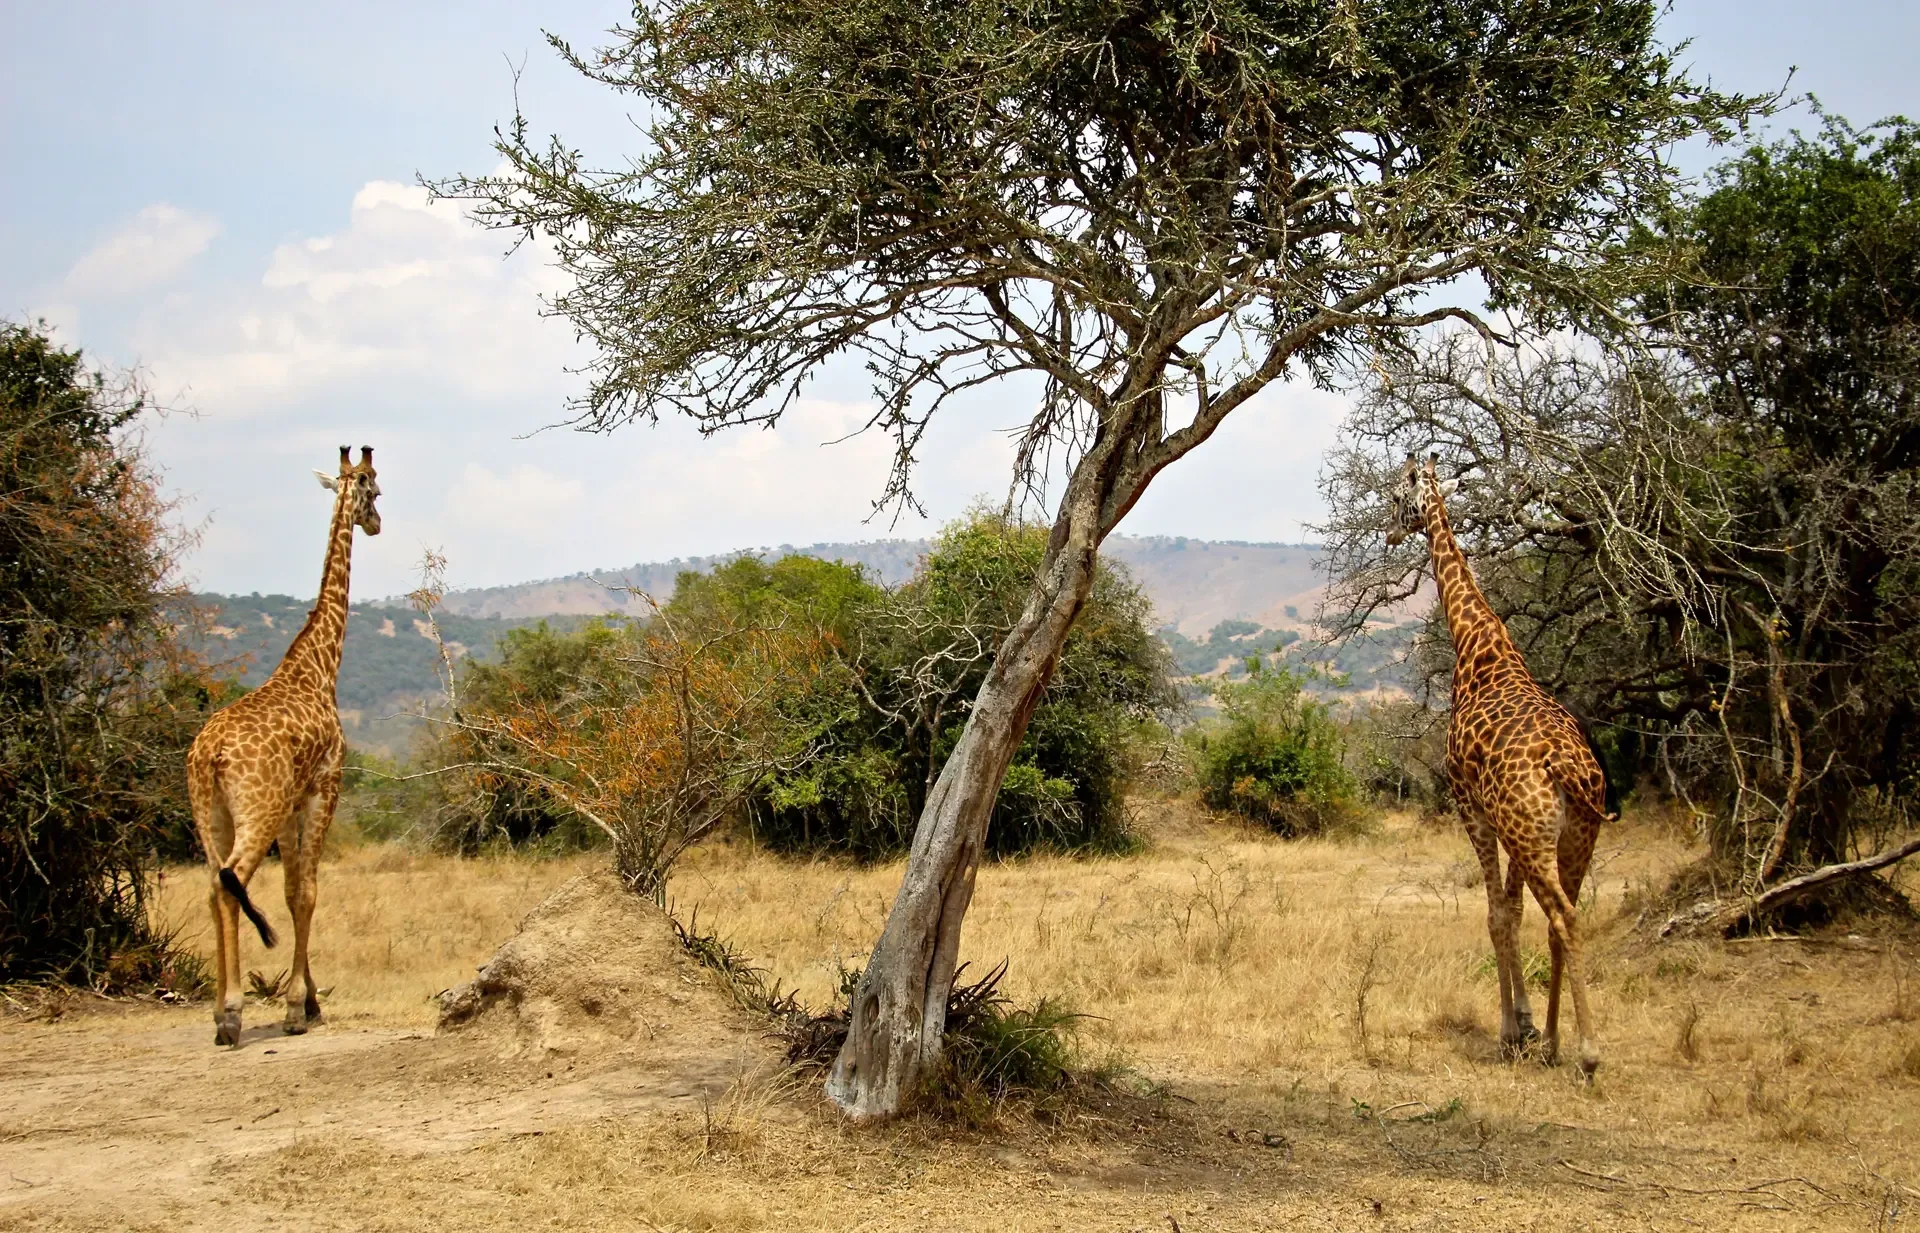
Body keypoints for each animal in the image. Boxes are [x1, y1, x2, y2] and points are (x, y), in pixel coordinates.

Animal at [187, 446, 381, 1046]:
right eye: (376, 491)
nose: (376, 524)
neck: (317, 667)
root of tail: (209, 756)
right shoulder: (323, 787)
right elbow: (307, 891)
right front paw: (298, 1007)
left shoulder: (295, 800)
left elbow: (295, 887)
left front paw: (310, 999)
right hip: (257, 809)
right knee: (234, 881)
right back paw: (230, 1015)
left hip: (209, 815)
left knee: (213, 885)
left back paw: (220, 1011)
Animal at [1386, 453, 1613, 1076]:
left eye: (1397, 498)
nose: (1388, 532)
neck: (1479, 646)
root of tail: (1568, 769)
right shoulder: (1503, 823)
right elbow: (1511, 912)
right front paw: (1530, 1025)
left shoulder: (1471, 807)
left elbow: (1493, 914)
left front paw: (1513, 1028)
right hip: (1573, 836)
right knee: (1566, 918)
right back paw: (1558, 1041)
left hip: (1533, 834)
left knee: (1563, 917)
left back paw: (1587, 1052)